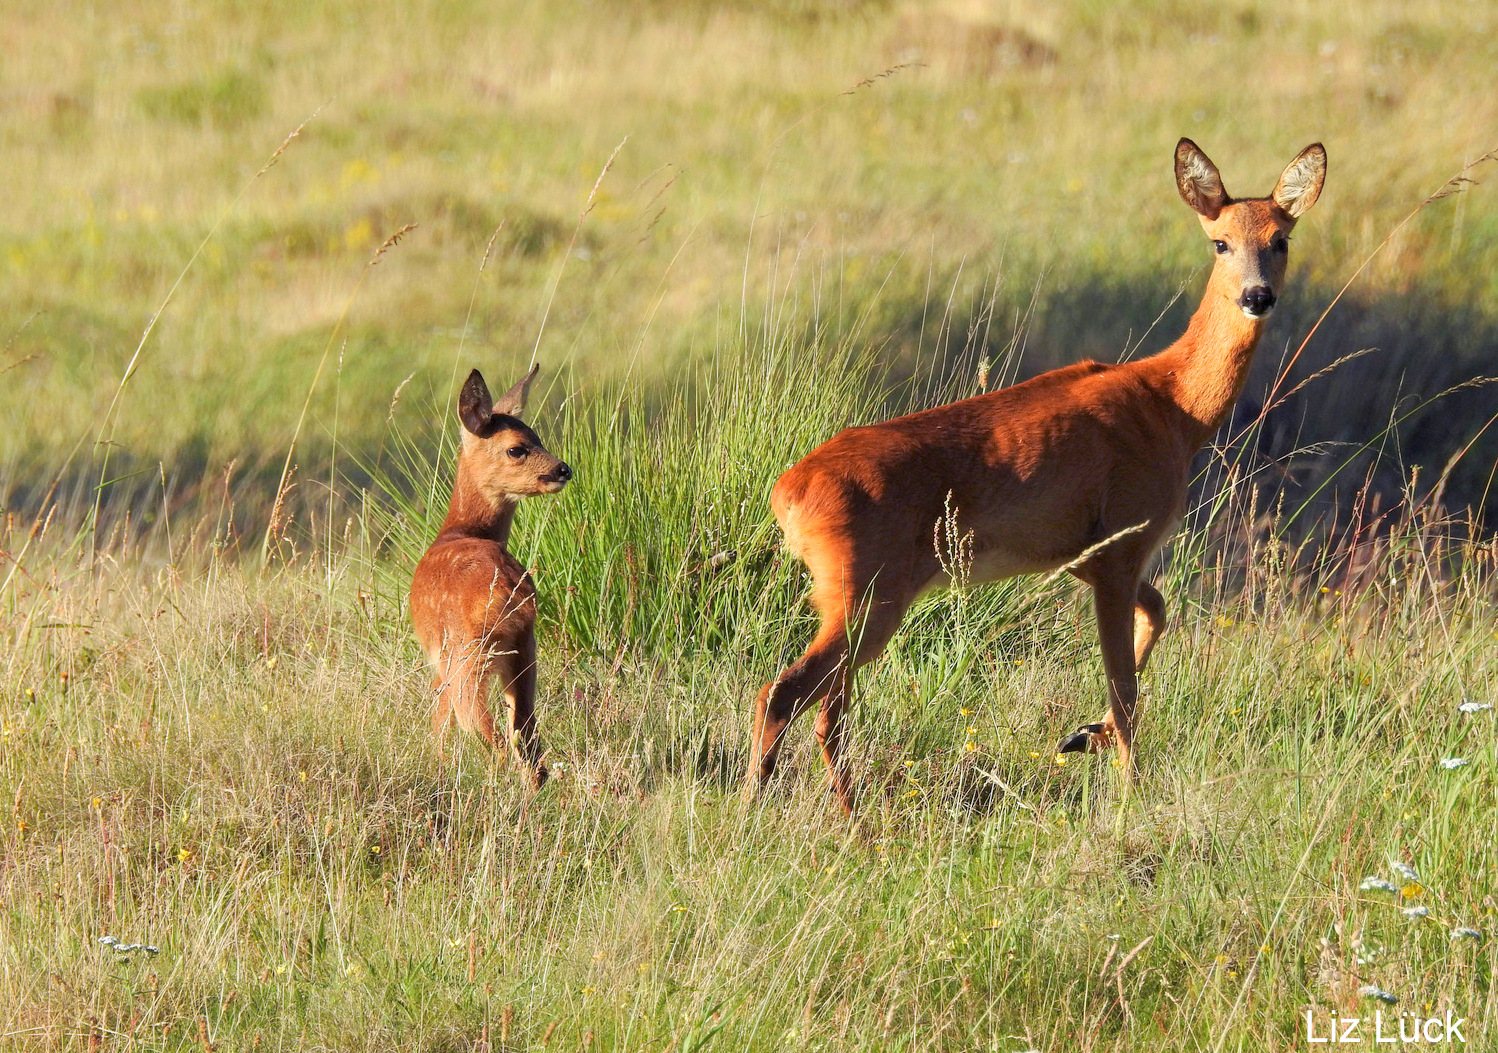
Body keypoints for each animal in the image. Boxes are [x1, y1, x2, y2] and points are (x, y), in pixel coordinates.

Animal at [410, 366, 572, 784]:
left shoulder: (439, 660)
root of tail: (509, 595)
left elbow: (438, 721)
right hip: (524, 651)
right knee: (526, 736)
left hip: (466, 657)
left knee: (492, 737)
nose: (563, 469)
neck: (461, 529)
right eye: (519, 447)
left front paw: (436, 762)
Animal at [746, 137, 1324, 814]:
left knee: (824, 705)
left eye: (1281, 238)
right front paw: (1128, 792)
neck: (1173, 407)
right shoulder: (1121, 542)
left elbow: (1157, 614)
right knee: (789, 692)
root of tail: (787, 493)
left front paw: (1085, 735)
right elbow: (1126, 686)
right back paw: (779, 814)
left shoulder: (1080, 552)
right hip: (867, 587)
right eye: (1220, 243)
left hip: (855, 593)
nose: (1258, 296)